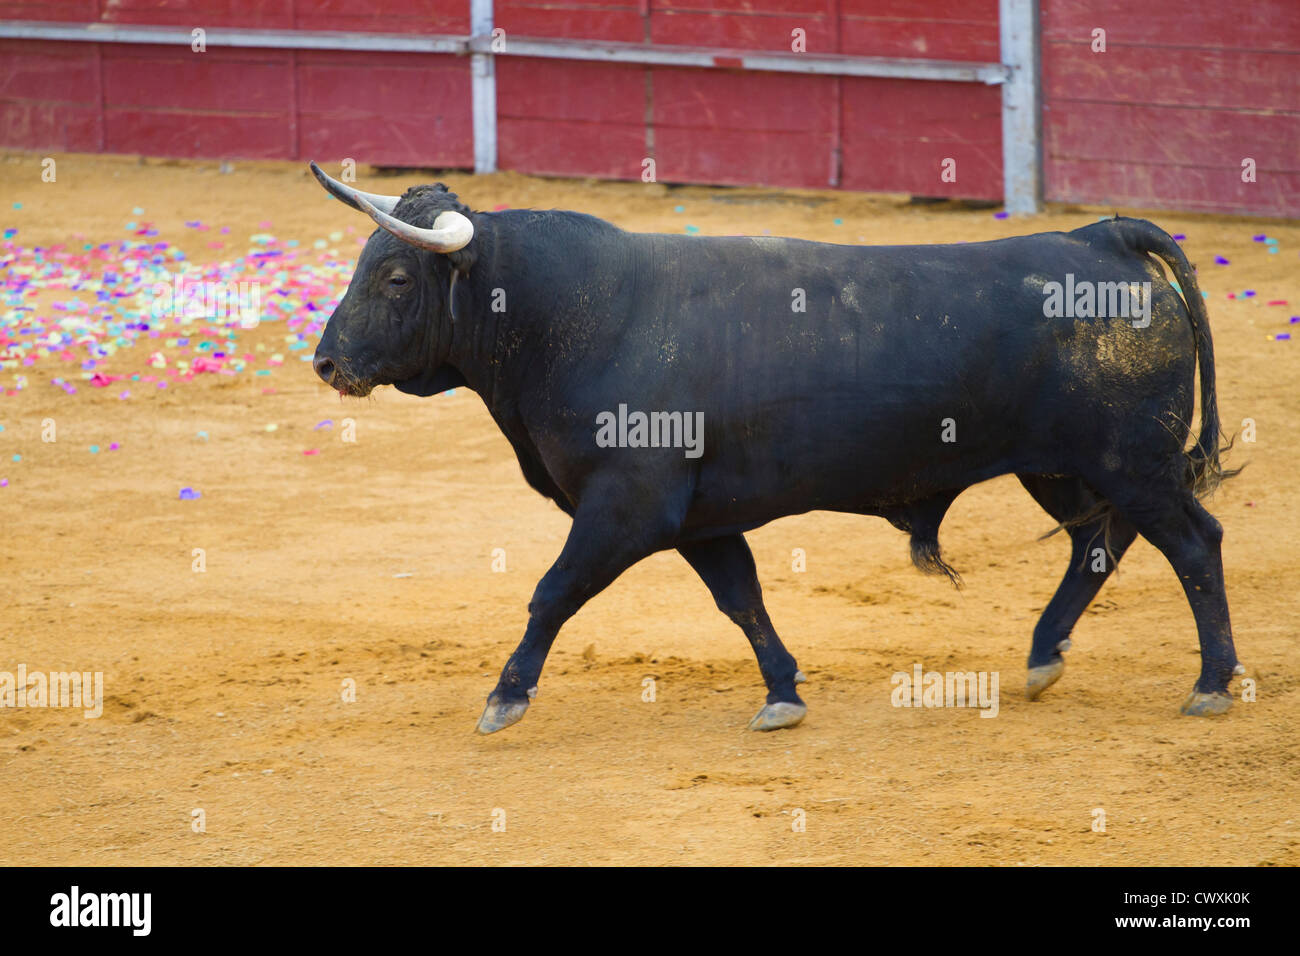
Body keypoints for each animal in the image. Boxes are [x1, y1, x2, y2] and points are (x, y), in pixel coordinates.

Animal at [309, 166, 1242, 733]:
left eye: (397, 277)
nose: (326, 363)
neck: (560, 314)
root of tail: (1099, 238)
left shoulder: (626, 507)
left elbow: (551, 592)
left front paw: (504, 698)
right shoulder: (699, 519)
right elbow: (742, 600)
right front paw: (784, 695)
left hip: (1128, 461)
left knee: (1193, 544)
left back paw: (1211, 684)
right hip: (1065, 467)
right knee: (1101, 541)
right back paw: (1045, 657)